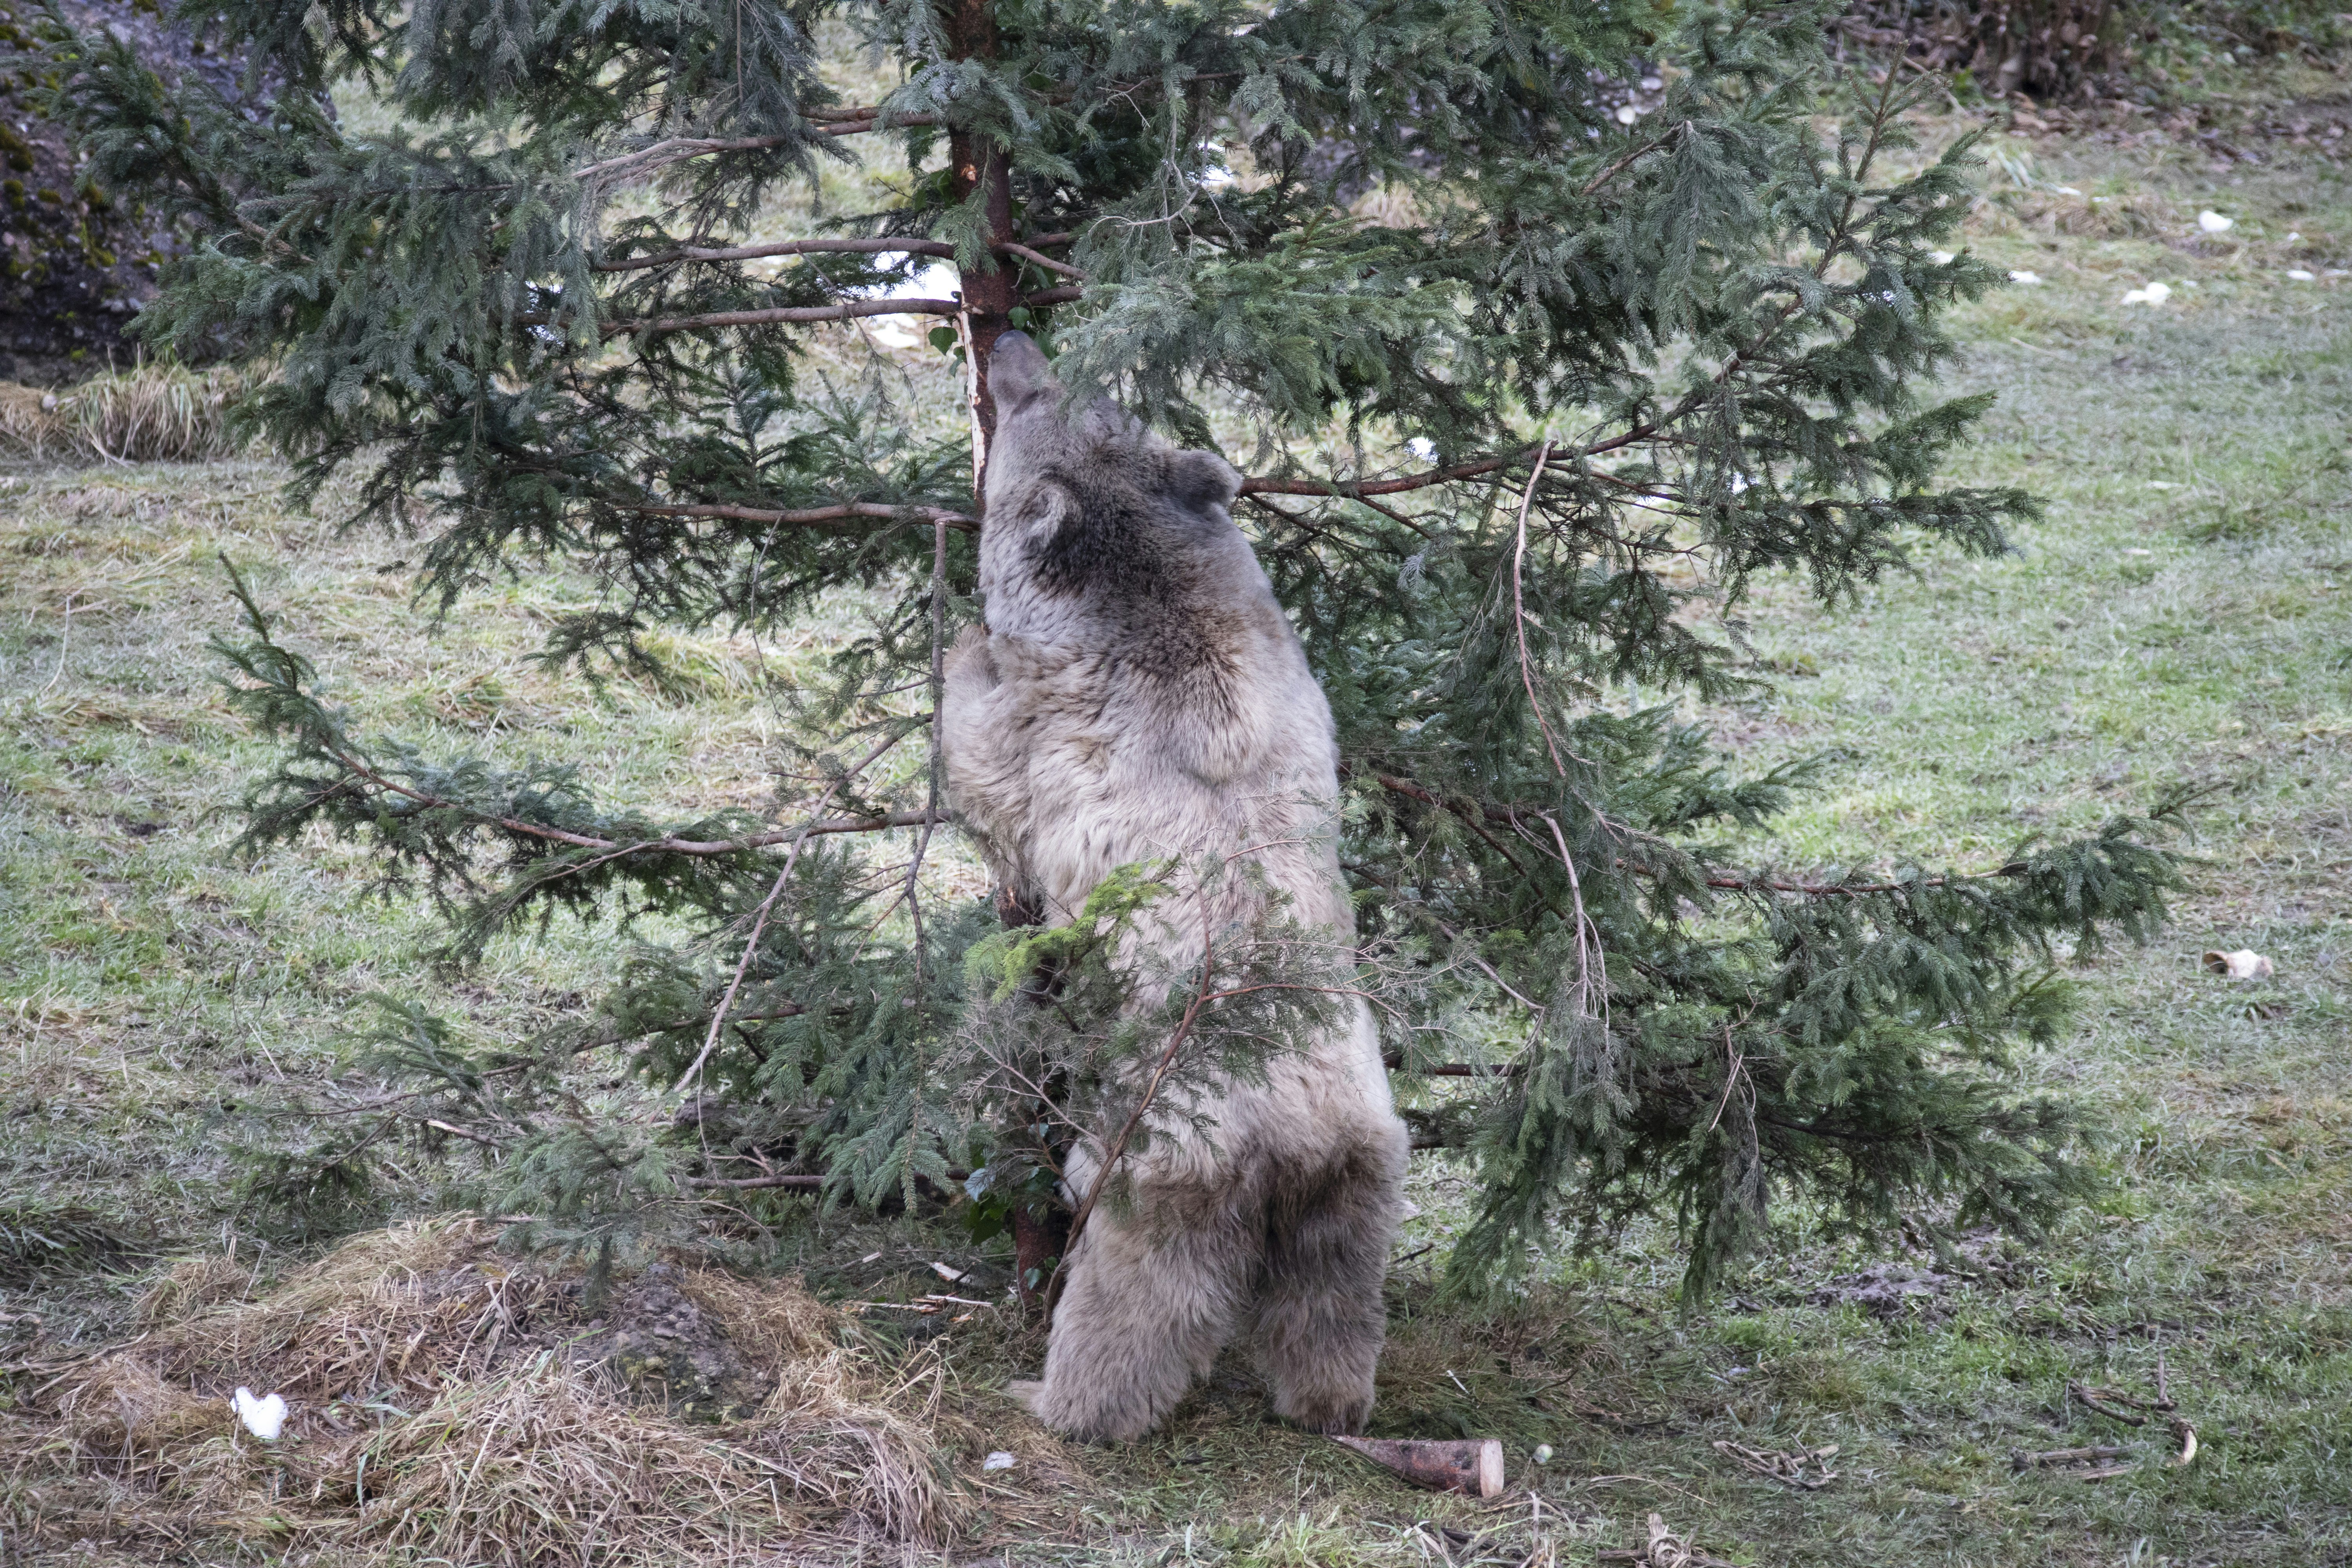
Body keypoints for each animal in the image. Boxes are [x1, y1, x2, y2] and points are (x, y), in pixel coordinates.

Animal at [938, 330, 1410, 1443]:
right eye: (1081, 386)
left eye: (1032, 403)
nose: (1010, 341)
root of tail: (1292, 1144)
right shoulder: (1282, 655)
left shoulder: (1055, 723)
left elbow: (990, 766)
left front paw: (961, 645)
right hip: (1361, 1175)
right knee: (1332, 1298)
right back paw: (1330, 1397)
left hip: (1153, 1170)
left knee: (1134, 1299)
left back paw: (1060, 1398)